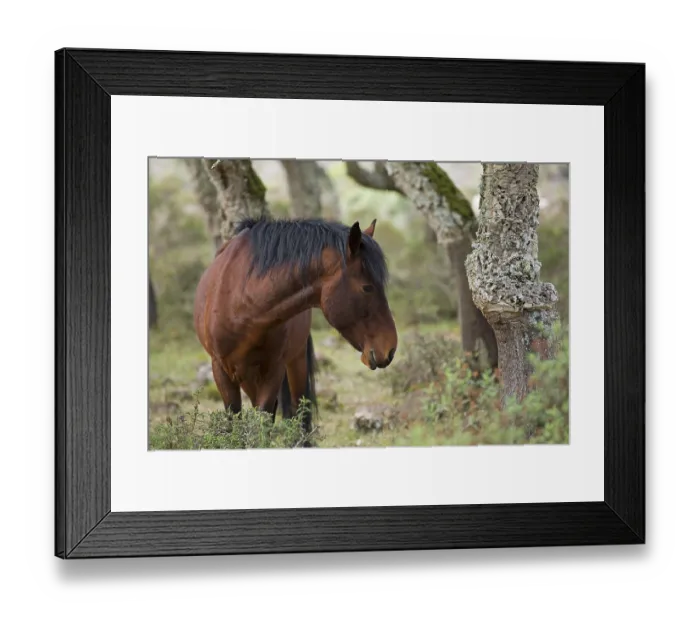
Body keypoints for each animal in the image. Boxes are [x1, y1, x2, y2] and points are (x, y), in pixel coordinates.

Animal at [193, 216, 398, 442]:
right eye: (367, 287)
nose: (390, 349)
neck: (242, 304)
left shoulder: (273, 370)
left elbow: (264, 424)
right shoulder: (220, 370)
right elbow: (234, 424)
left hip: (295, 363)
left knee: (300, 418)